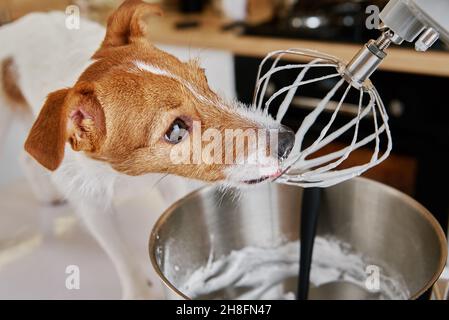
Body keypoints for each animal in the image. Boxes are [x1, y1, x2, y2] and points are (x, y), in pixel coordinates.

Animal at [0, 0, 294, 298]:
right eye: (176, 130)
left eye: (204, 80)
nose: (287, 141)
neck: (124, 174)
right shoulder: (93, 207)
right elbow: (121, 256)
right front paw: (139, 291)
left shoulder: (171, 185)